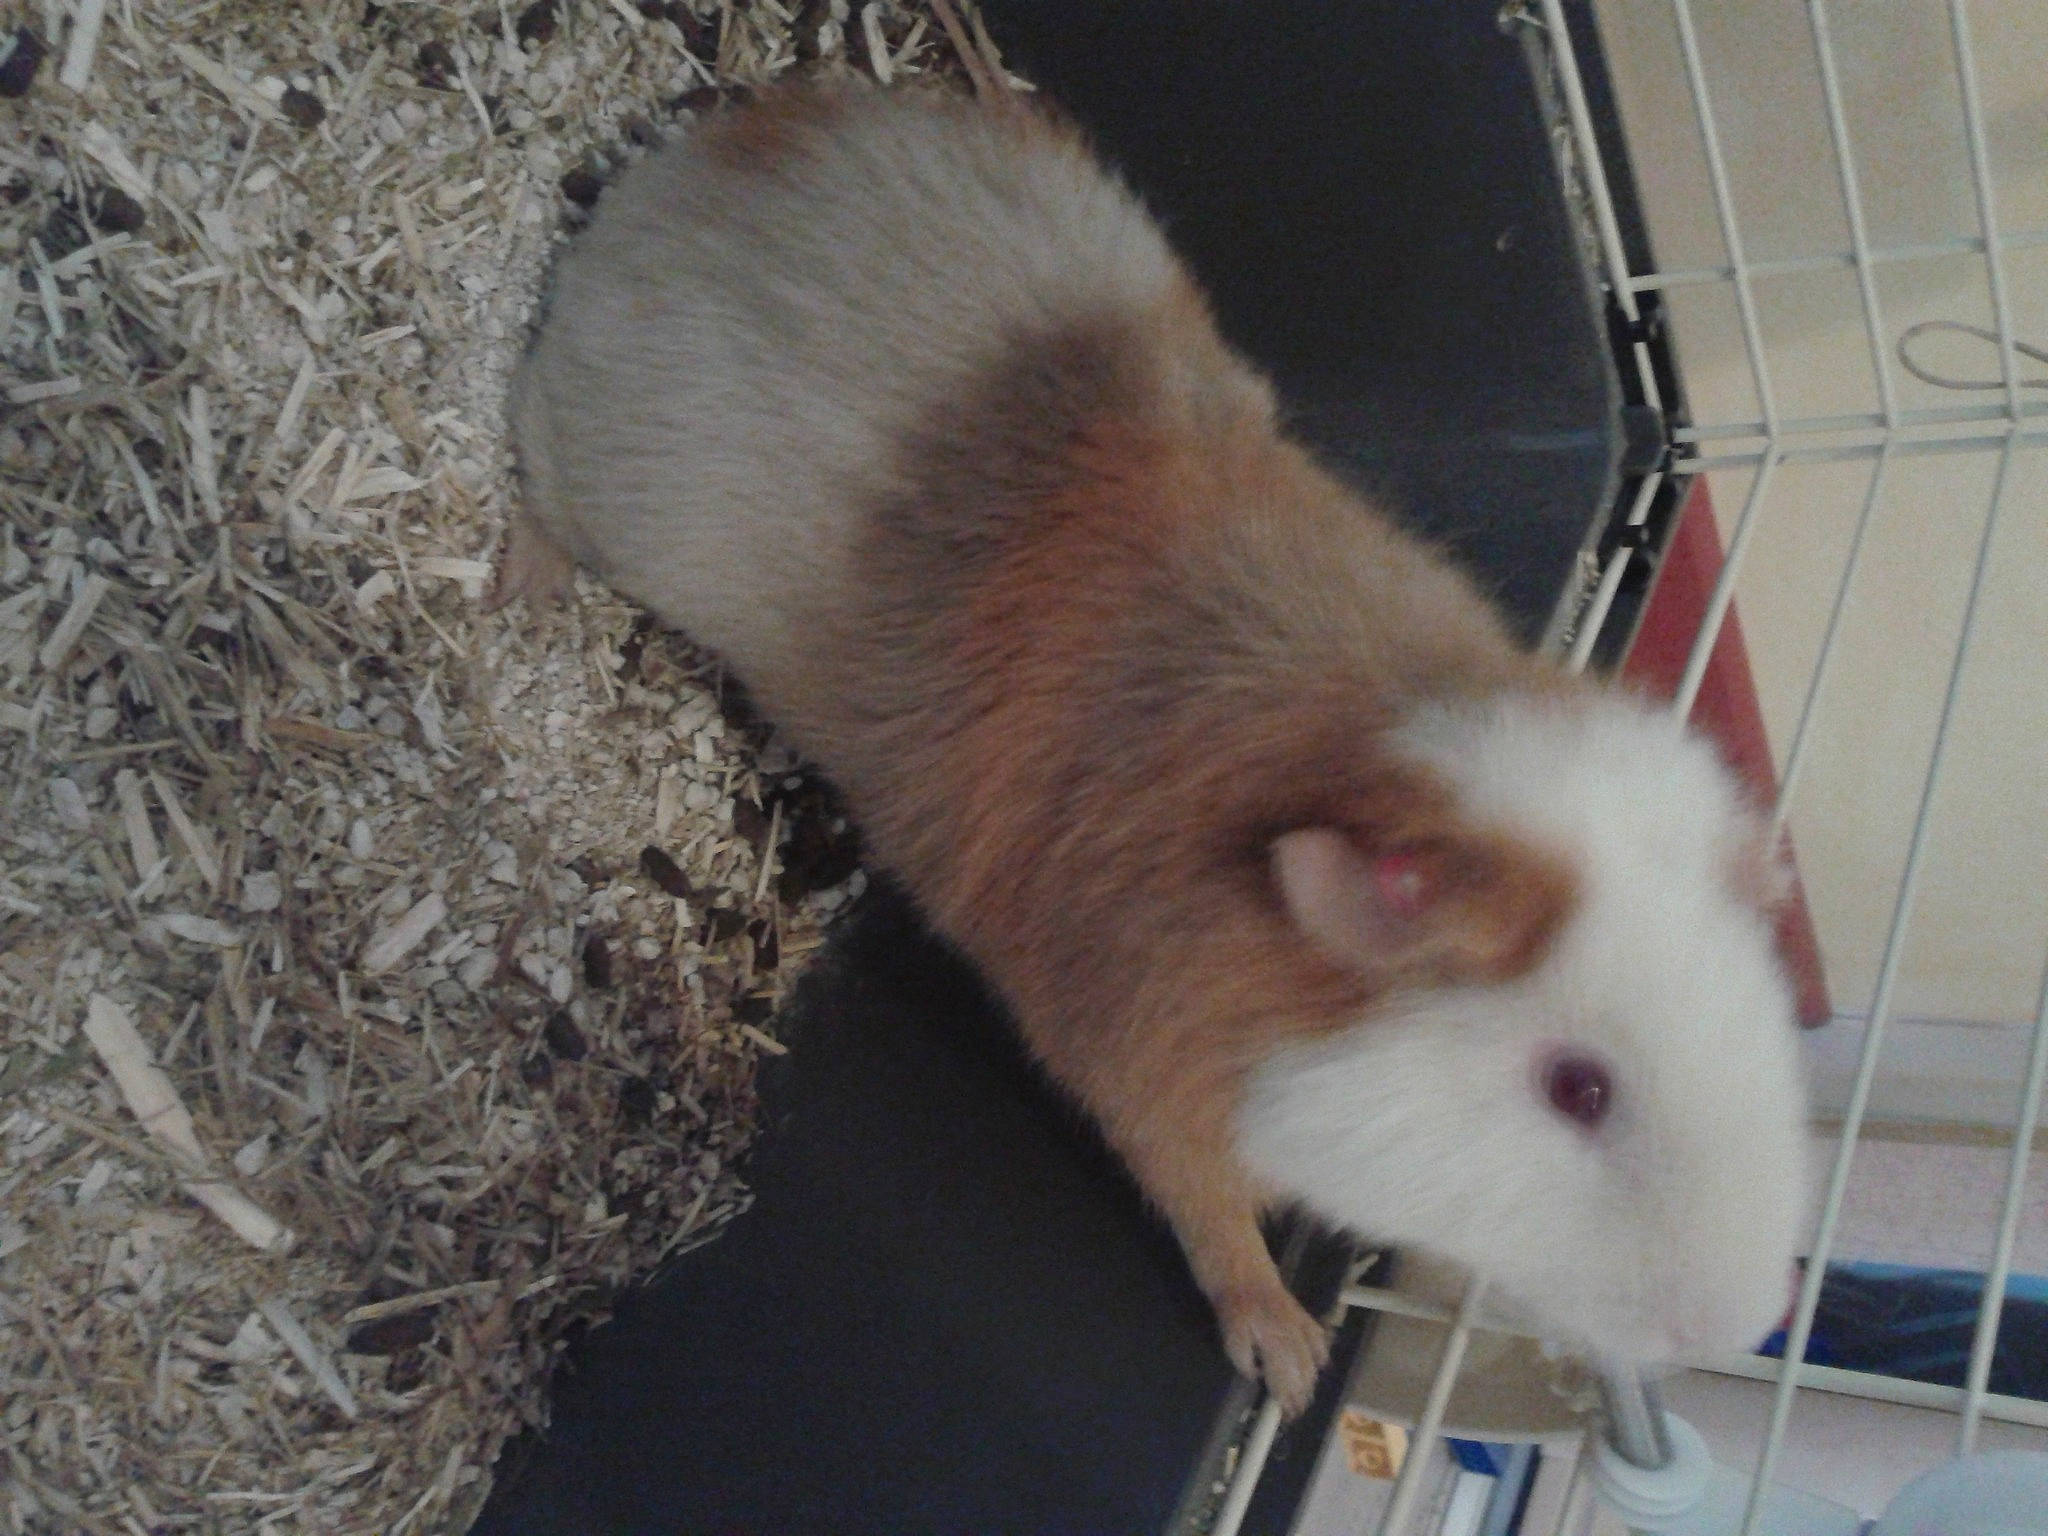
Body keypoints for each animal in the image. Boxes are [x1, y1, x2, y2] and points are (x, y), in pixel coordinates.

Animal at [497, 82, 1813, 1417]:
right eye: (1575, 1088)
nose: (1738, 1322)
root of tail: (692, 164)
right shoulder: (1147, 1094)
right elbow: (1213, 1229)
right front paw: (1287, 1360)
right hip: (586, 478)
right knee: (531, 471)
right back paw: (523, 580)